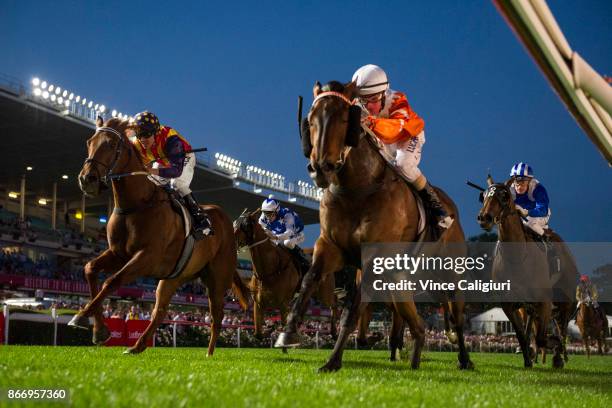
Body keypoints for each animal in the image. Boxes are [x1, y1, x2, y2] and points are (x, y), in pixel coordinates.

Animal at [67, 116, 249, 356]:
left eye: (112, 145)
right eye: (89, 142)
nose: (87, 179)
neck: (136, 204)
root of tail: (228, 221)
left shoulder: (146, 257)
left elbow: (112, 281)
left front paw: (81, 316)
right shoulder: (118, 254)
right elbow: (90, 269)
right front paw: (99, 330)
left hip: (218, 278)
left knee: (216, 315)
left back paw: (209, 354)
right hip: (175, 275)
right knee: (160, 310)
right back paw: (137, 345)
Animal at [234, 210, 340, 342]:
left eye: (245, 225)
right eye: (234, 223)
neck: (270, 270)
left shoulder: (283, 305)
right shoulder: (258, 304)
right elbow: (258, 334)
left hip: (324, 293)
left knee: (334, 303)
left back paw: (334, 332)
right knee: (306, 305)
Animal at [274, 81, 474, 372]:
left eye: (345, 118)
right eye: (310, 120)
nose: (321, 168)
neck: (357, 188)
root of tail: (452, 210)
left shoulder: (373, 255)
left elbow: (353, 309)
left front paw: (333, 360)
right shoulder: (331, 246)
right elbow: (310, 279)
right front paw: (288, 333)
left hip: (449, 273)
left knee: (457, 316)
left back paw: (465, 359)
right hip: (400, 279)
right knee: (417, 323)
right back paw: (414, 360)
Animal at [478, 177, 580, 368]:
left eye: (504, 196)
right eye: (483, 195)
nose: (484, 218)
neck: (517, 259)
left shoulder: (544, 301)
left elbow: (543, 338)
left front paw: (552, 348)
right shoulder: (509, 304)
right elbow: (521, 333)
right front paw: (527, 358)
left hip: (566, 299)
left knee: (561, 328)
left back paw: (558, 356)